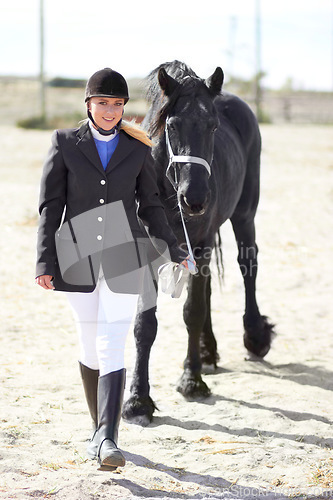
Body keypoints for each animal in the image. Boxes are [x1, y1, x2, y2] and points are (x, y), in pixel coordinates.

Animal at [122, 60, 272, 424]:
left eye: (213, 126)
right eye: (172, 125)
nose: (195, 199)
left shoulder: (201, 246)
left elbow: (193, 311)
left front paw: (191, 381)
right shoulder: (149, 251)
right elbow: (145, 323)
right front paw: (138, 400)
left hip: (243, 216)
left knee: (247, 267)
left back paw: (254, 336)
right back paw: (207, 350)